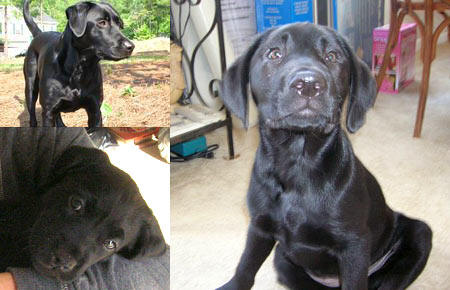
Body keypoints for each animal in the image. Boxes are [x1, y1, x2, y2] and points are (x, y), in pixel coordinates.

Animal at [218, 23, 432, 290]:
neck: (298, 164)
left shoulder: (354, 246)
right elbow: (246, 265)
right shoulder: (260, 227)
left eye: (332, 56)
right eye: (274, 53)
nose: (308, 84)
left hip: (420, 234)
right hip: (283, 260)